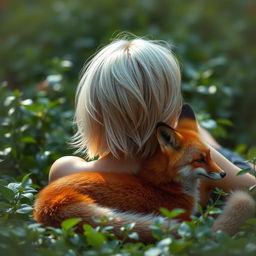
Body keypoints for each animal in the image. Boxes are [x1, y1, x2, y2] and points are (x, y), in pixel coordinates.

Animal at [34, 104, 256, 242]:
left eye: (210, 156)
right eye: (199, 160)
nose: (224, 174)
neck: (166, 185)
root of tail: (48, 204)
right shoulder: (183, 218)